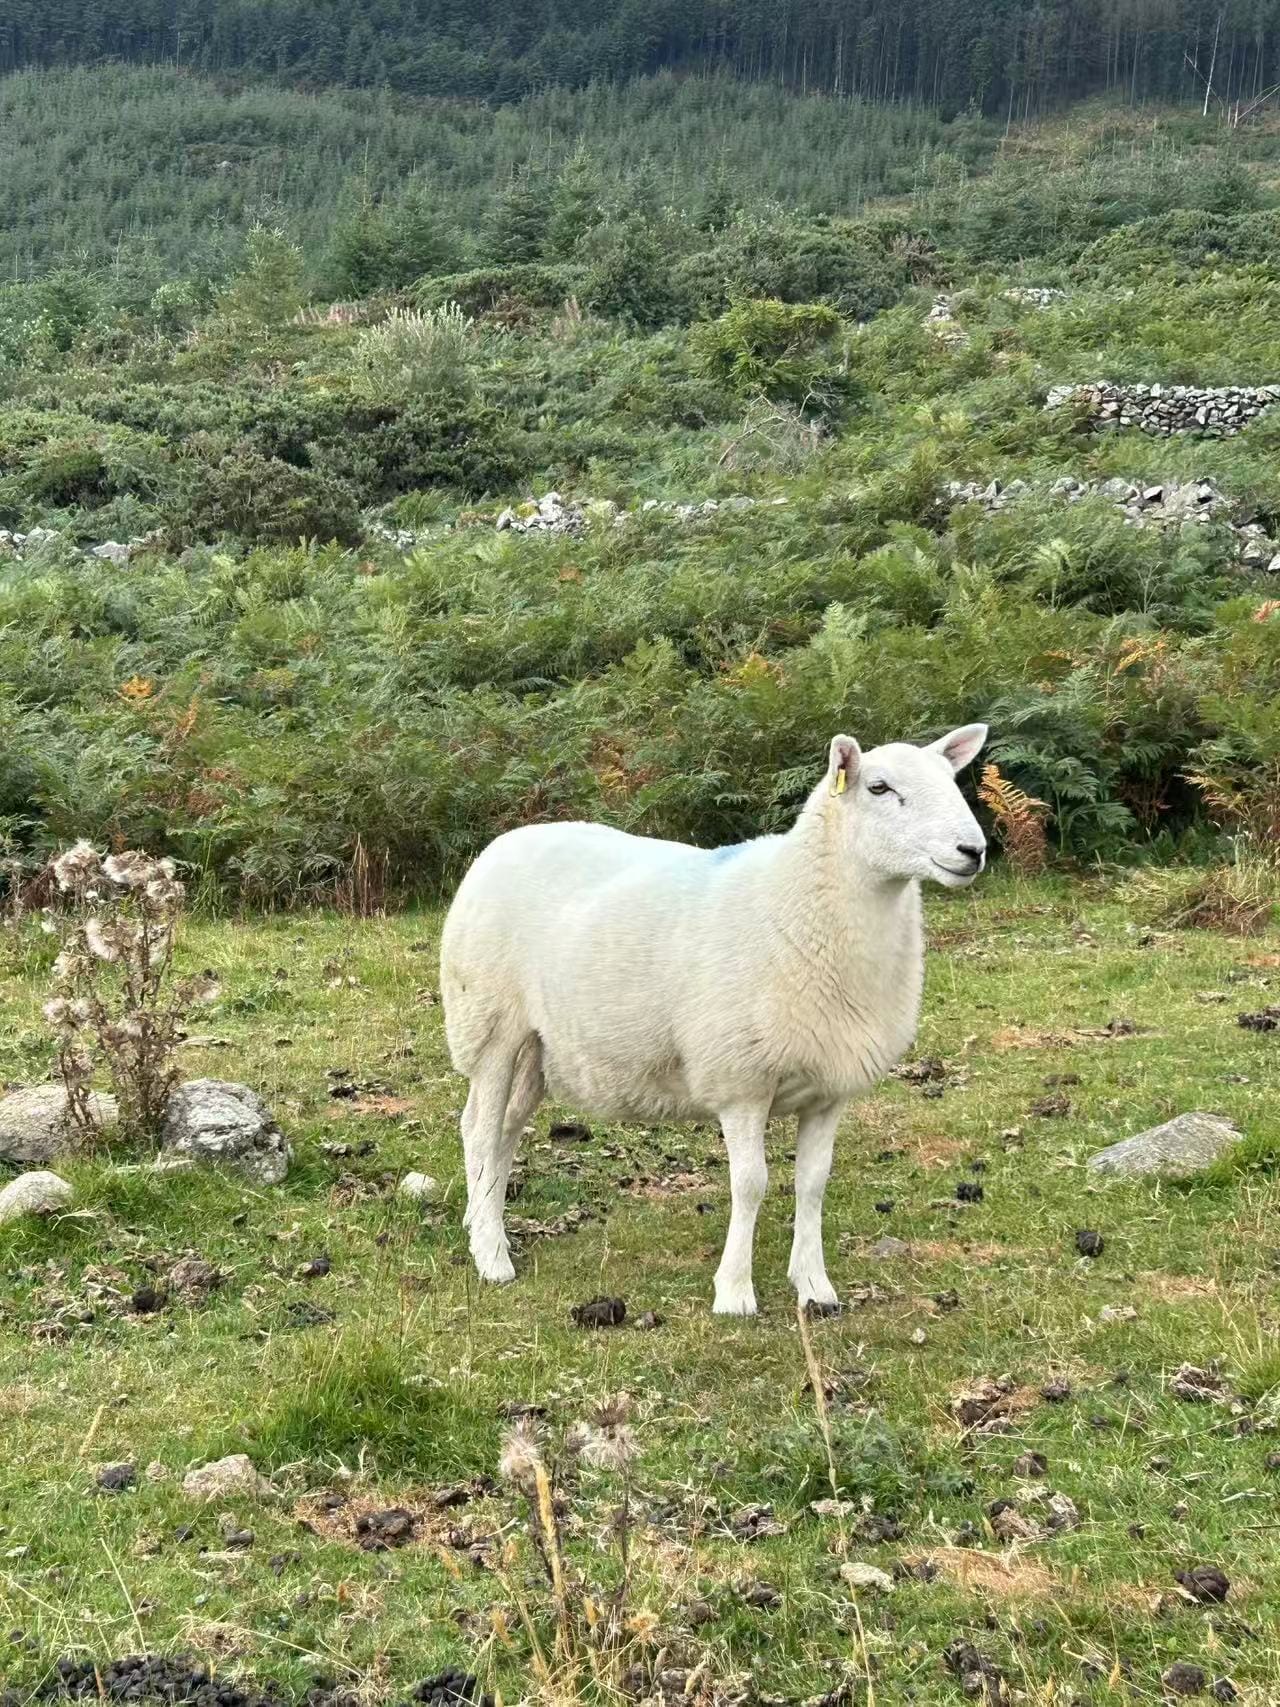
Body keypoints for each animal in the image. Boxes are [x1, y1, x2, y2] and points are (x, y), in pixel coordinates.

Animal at [439, 723, 988, 1315]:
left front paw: (814, 1286)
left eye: (951, 779)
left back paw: (480, 1219)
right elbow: (750, 1184)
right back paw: (492, 1255)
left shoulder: (828, 1088)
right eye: (879, 788)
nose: (974, 850)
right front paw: (735, 1293)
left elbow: (812, 1183)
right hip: (488, 1021)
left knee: (503, 1127)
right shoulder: (740, 1080)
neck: (797, 903)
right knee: (479, 1129)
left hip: (540, 1045)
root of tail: (502, 843)